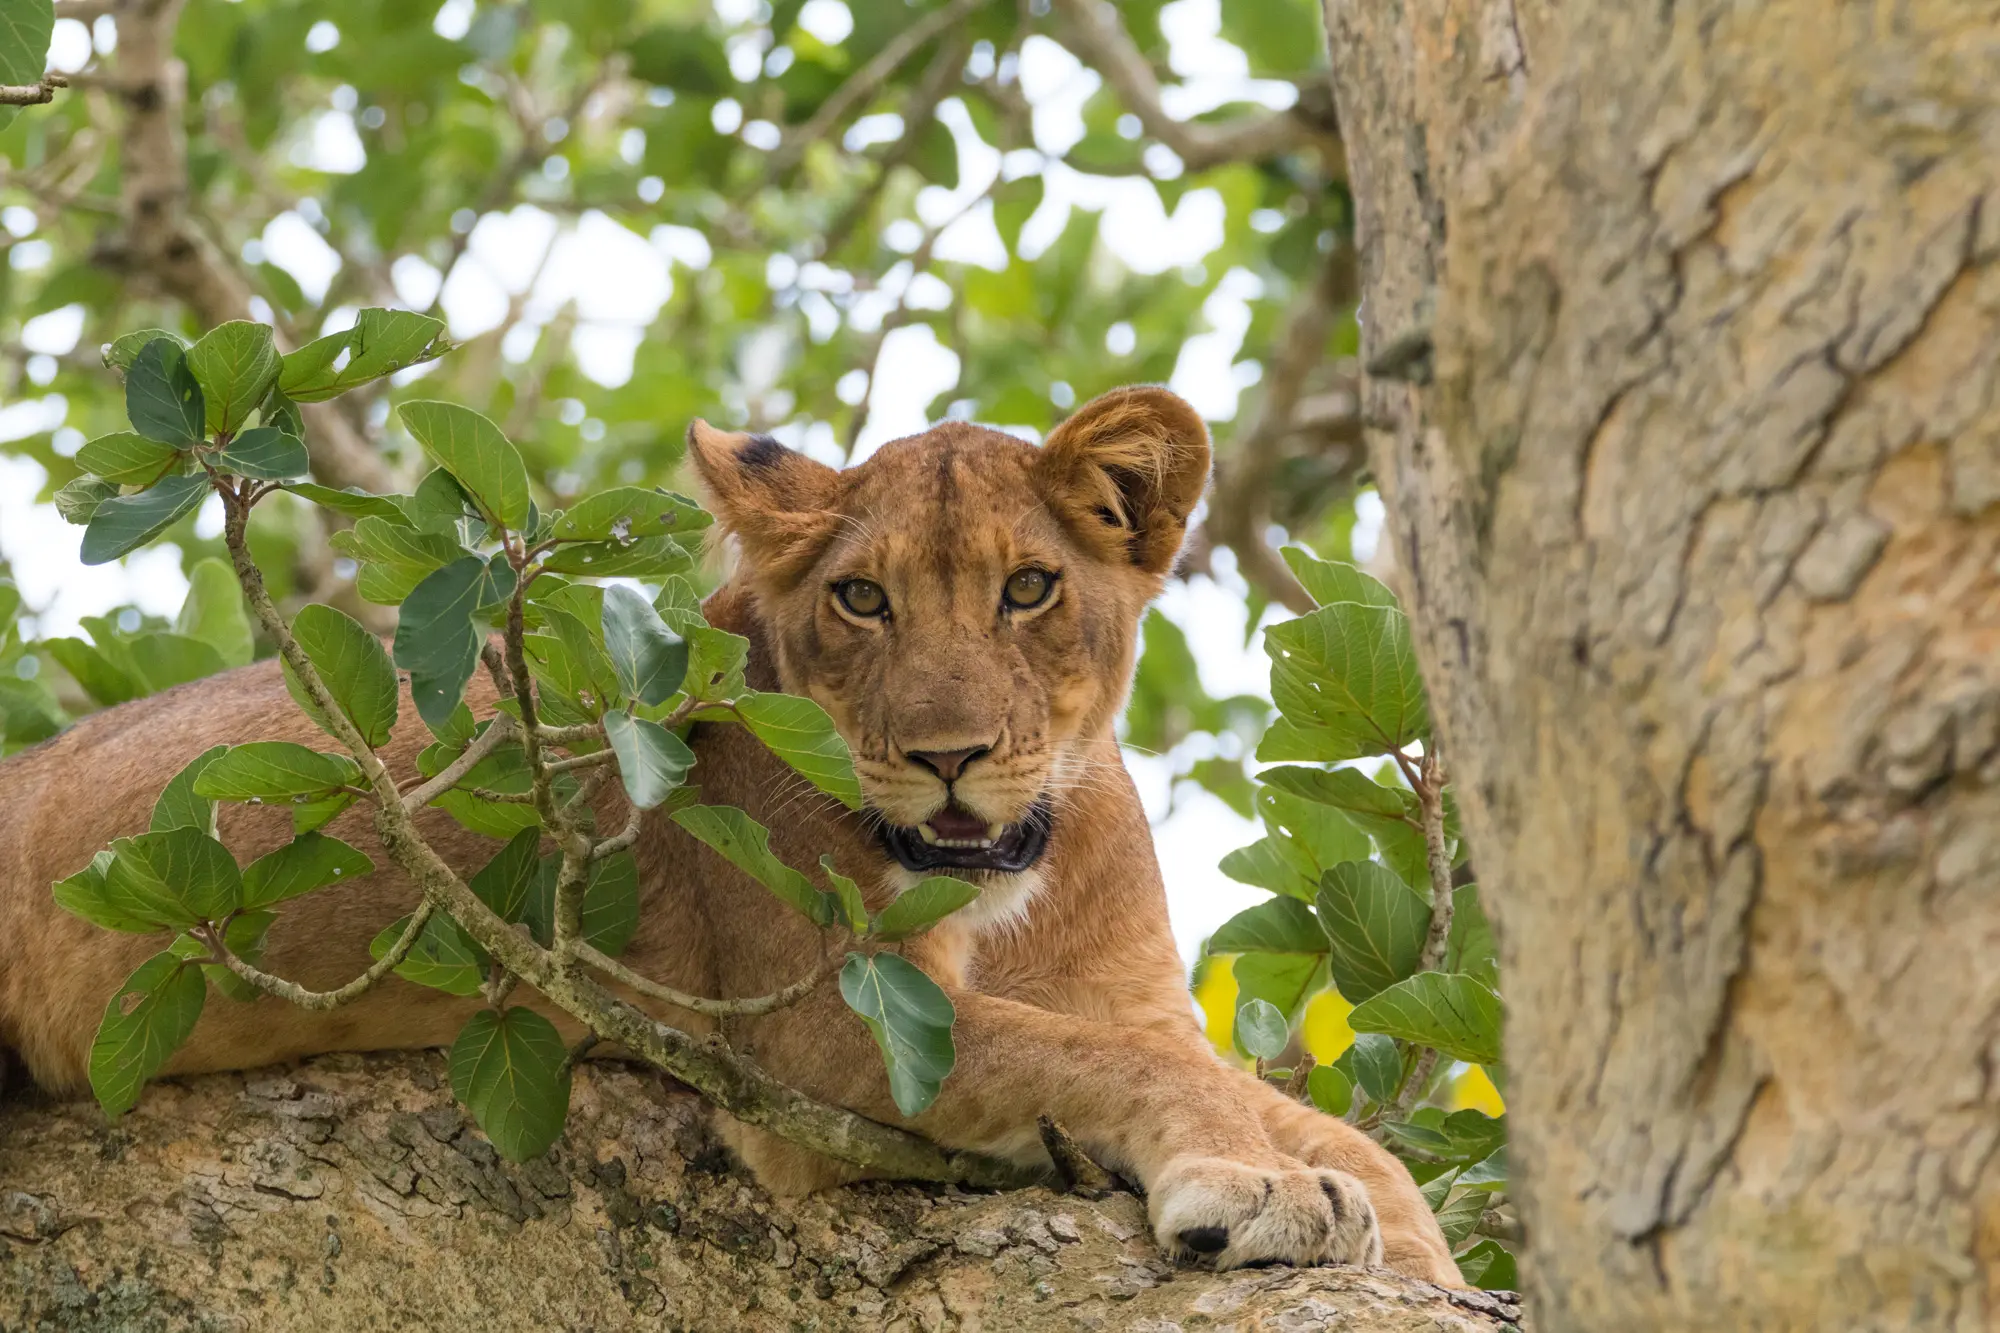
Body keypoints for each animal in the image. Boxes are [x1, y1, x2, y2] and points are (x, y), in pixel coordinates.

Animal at [0, 386, 1458, 1282]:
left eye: (1030, 587)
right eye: (863, 600)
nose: (945, 758)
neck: (1008, 887)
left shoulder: (1139, 998)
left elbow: (1347, 1139)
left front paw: (1398, 1240)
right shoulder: (817, 1039)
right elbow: (1124, 1067)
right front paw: (1256, 1186)